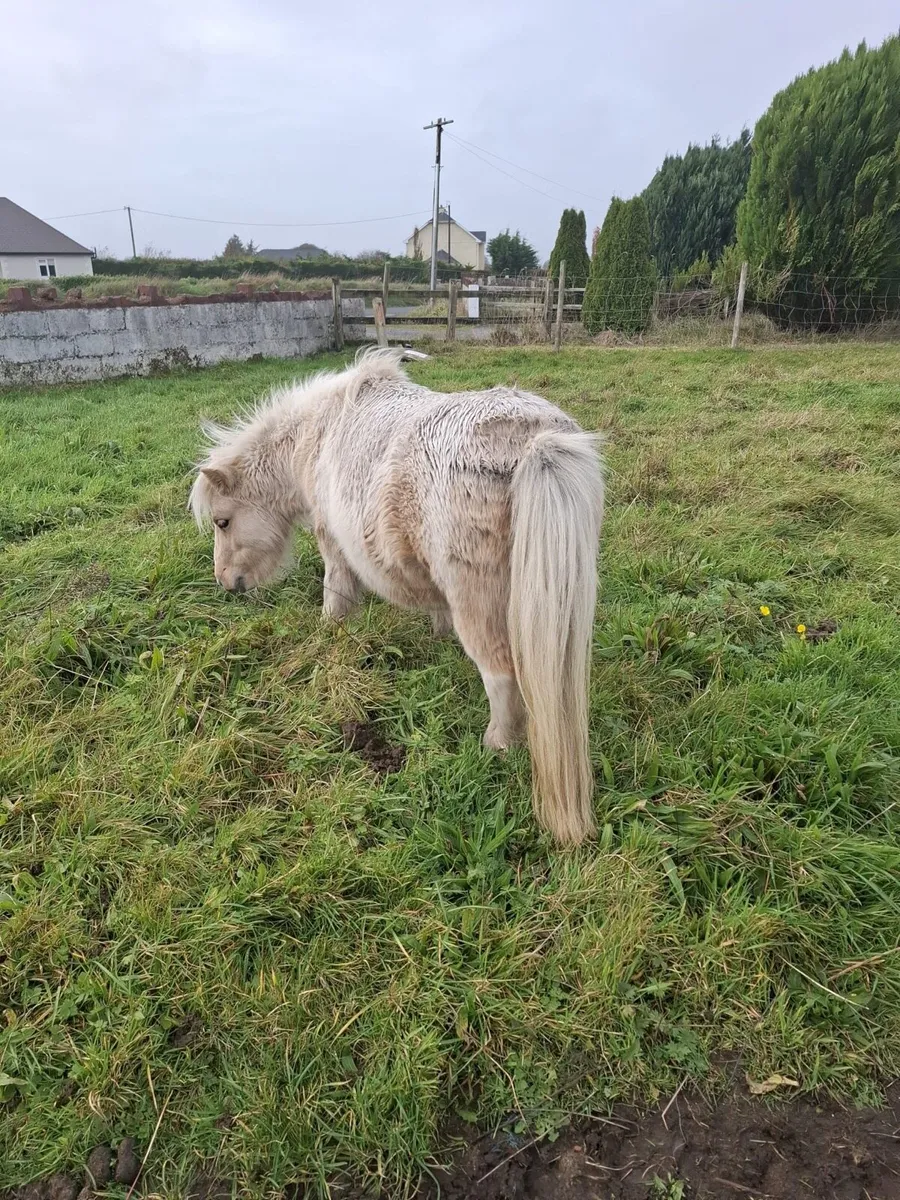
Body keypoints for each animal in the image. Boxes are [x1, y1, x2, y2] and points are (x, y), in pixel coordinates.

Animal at [189, 348, 604, 844]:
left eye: (223, 521)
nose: (226, 582)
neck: (318, 431)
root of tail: (534, 440)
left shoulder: (333, 544)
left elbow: (336, 594)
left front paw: (330, 634)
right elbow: (436, 610)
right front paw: (438, 640)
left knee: (501, 674)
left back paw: (497, 744)